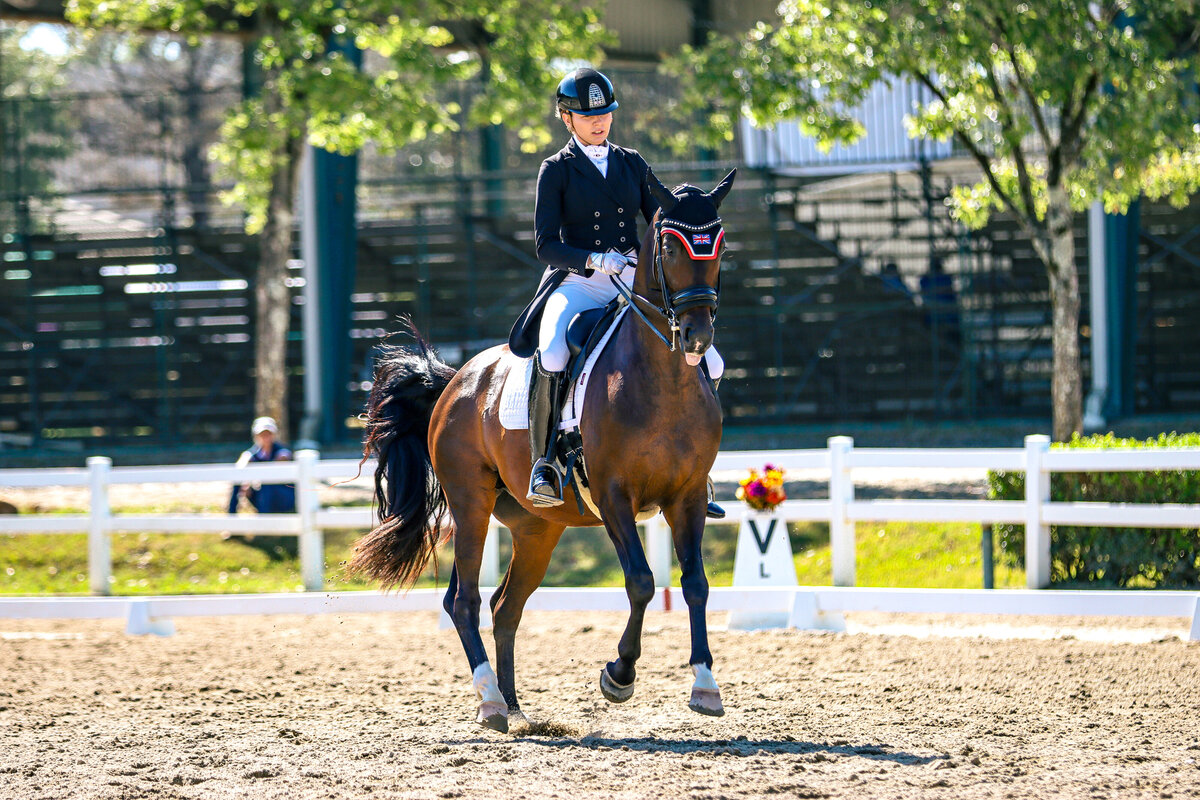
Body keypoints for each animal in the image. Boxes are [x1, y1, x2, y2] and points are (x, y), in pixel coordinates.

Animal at [348, 168, 737, 733]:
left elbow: (696, 585)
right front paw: (618, 675)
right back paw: (490, 701)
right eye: (670, 244)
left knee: (505, 605)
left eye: (720, 245)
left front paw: (705, 684)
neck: (662, 381)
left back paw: (514, 705)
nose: (696, 336)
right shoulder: (614, 497)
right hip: (471, 505)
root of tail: (455, 380)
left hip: (537, 528)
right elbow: (642, 582)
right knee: (464, 600)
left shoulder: (685, 499)